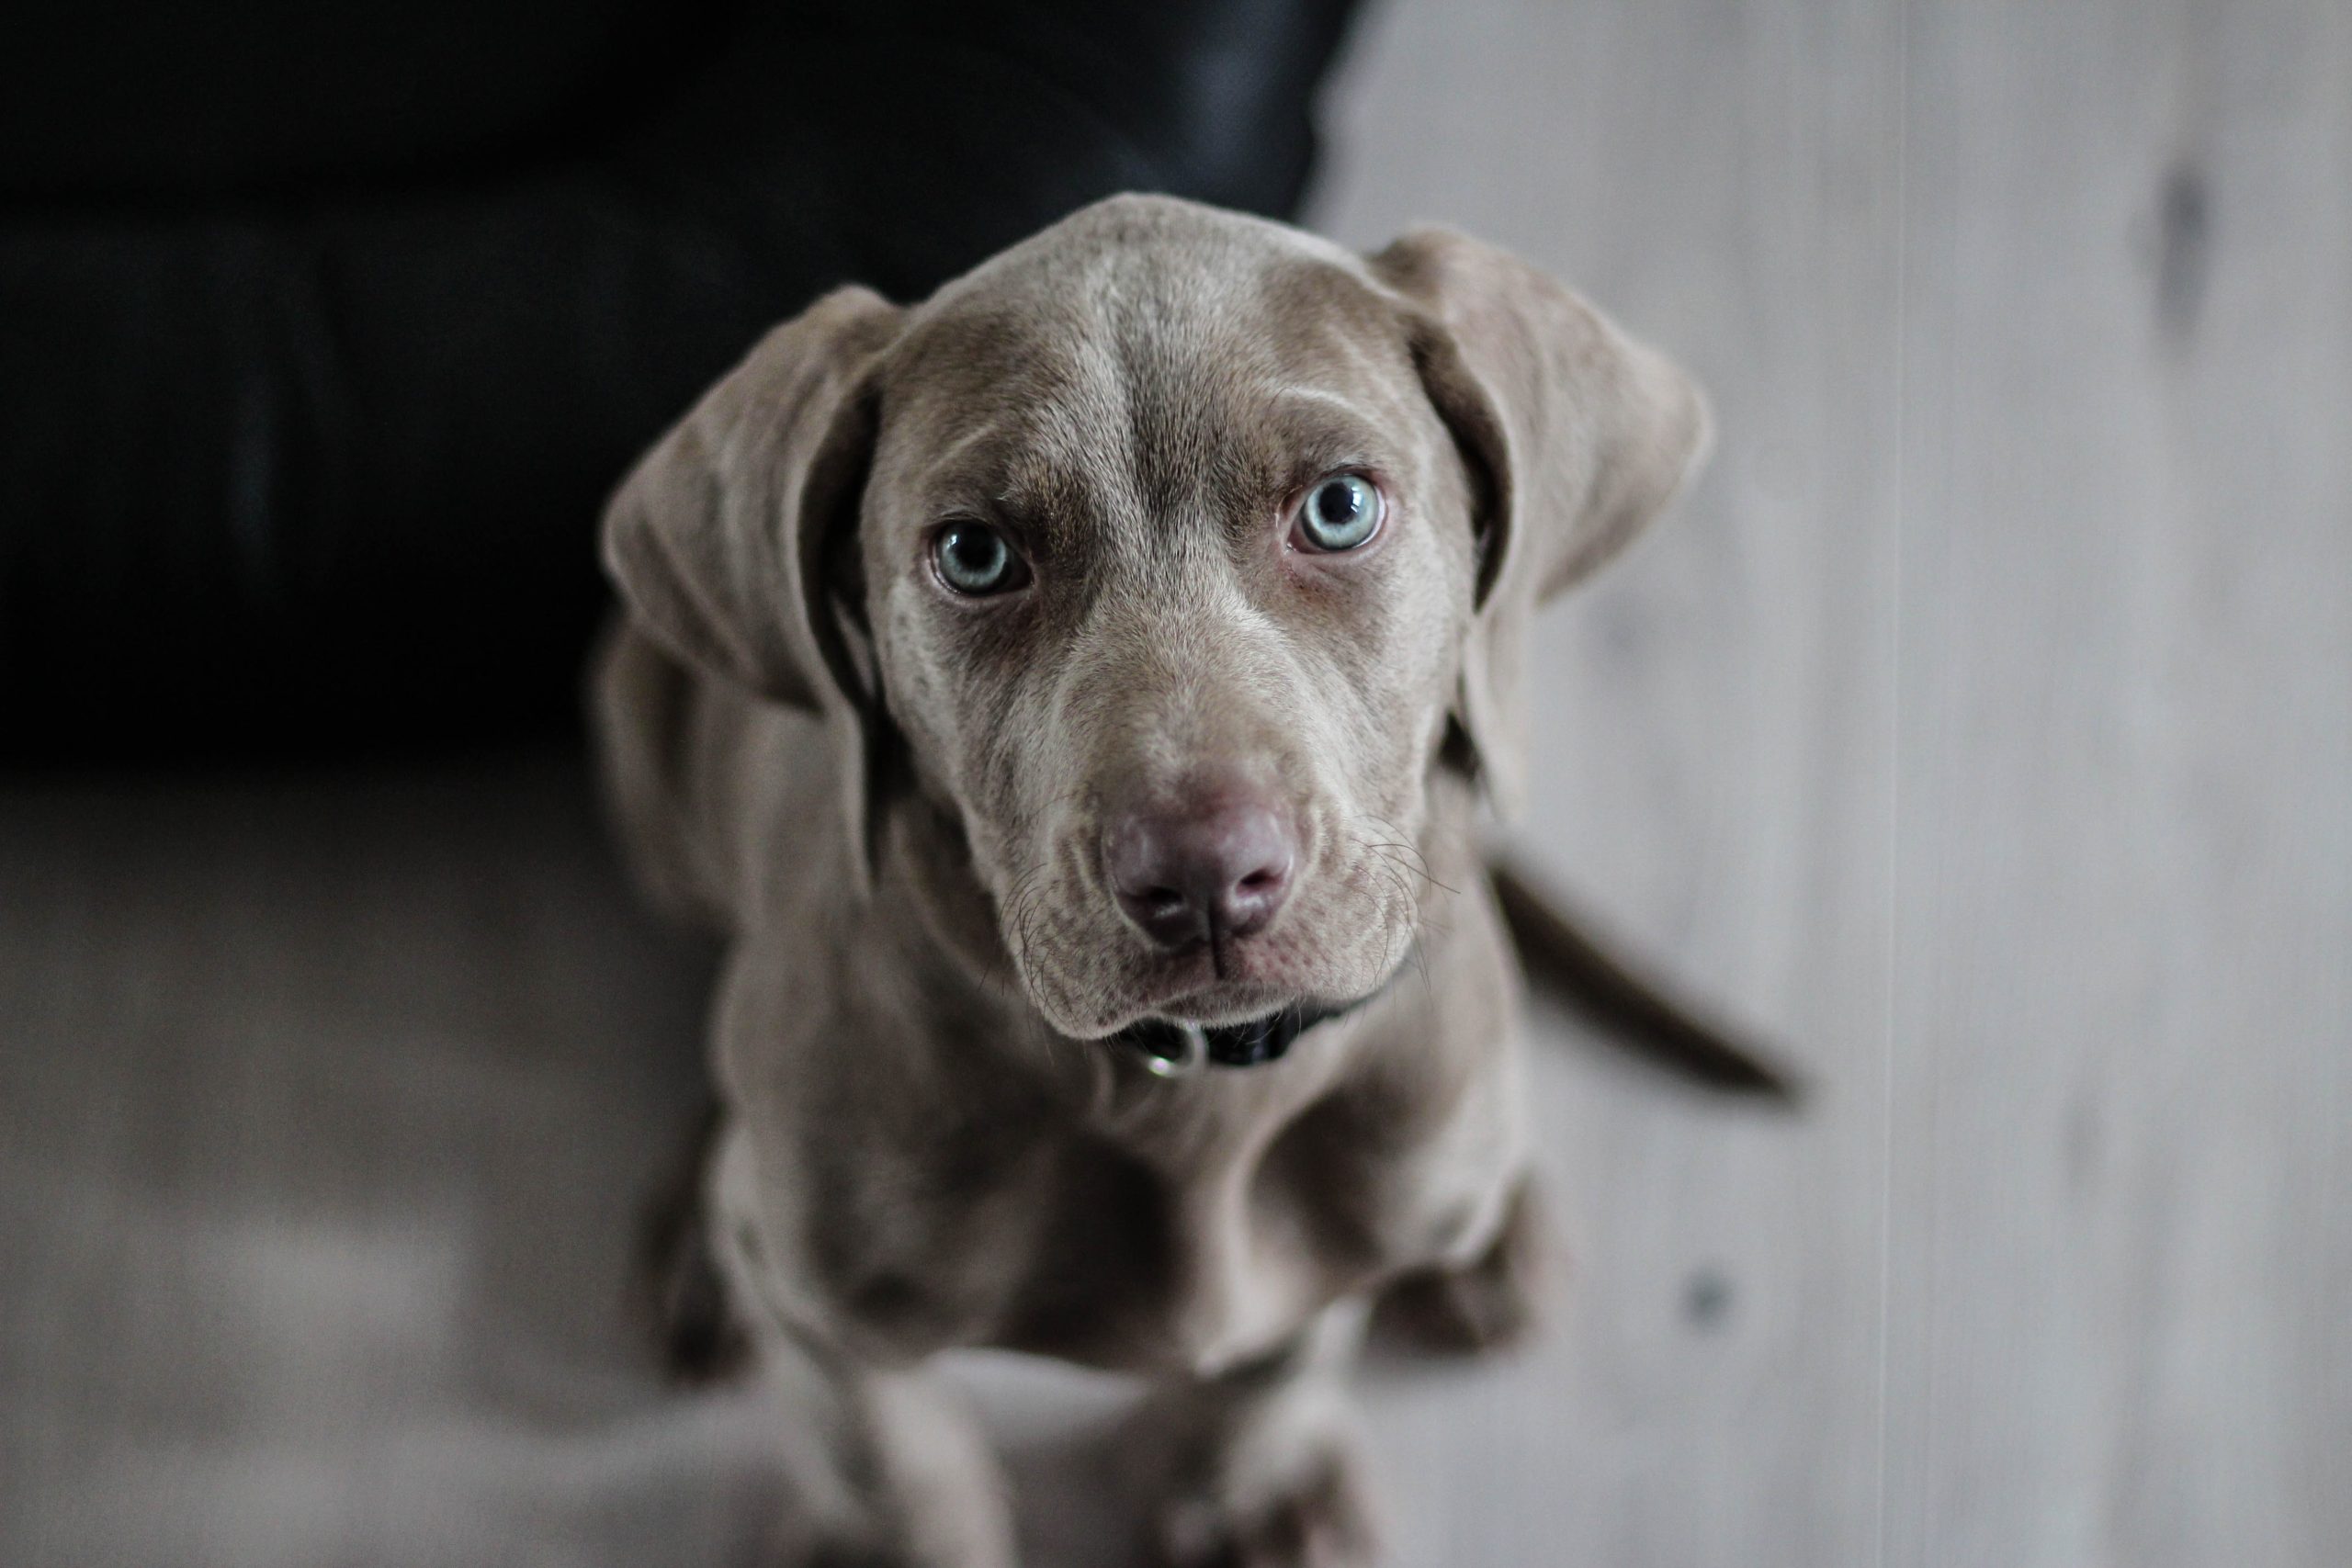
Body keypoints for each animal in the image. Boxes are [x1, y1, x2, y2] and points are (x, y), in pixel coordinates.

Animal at [593, 196, 1731, 1568]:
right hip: (640, 737)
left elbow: (1284, 1351)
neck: (1189, 1092)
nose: (1203, 877)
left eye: (1338, 507)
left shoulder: (1327, 1244)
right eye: (974, 553)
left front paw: (1251, 1487)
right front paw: (898, 1534)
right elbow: (880, 1444)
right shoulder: (823, 1304)